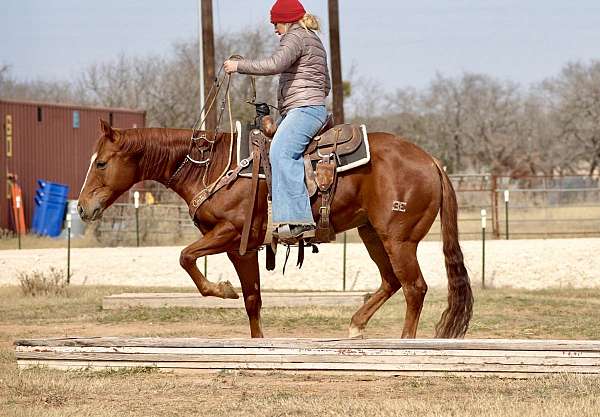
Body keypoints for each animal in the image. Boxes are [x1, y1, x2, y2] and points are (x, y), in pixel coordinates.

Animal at [78, 119, 474, 338]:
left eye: (101, 163)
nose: (82, 207)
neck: (213, 167)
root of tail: (431, 161)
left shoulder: (229, 233)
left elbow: (185, 256)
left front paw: (222, 289)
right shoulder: (242, 248)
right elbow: (252, 299)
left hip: (399, 238)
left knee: (414, 287)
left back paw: (405, 340)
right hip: (372, 234)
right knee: (391, 281)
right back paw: (356, 324)